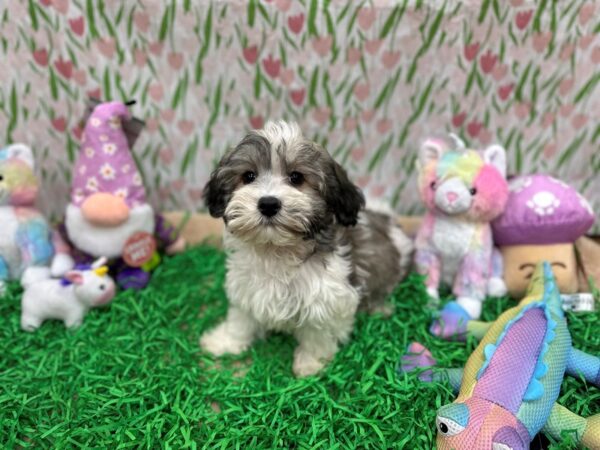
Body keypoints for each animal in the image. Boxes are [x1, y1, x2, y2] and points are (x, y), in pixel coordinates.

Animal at [200, 120, 412, 376]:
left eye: (296, 178)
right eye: (248, 176)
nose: (268, 203)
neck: (276, 250)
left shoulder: (328, 298)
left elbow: (317, 332)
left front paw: (311, 362)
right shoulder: (246, 286)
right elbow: (241, 319)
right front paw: (225, 341)